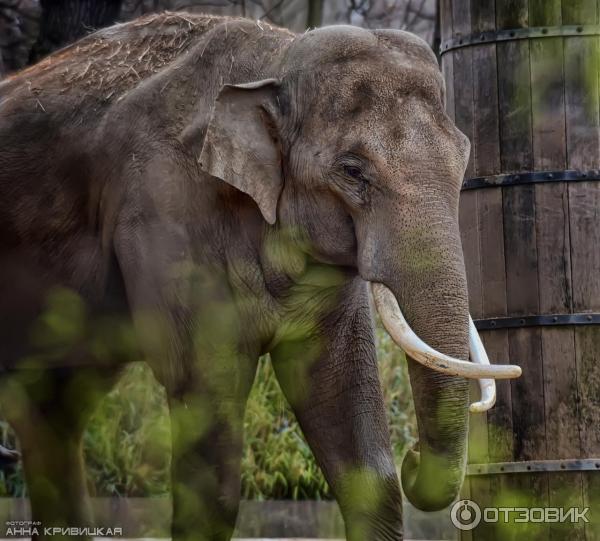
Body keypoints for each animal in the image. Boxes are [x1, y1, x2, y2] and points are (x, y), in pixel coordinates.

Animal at [0, 11, 516, 540]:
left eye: (463, 160)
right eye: (353, 171)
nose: (413, 454)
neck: (275, 60)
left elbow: (344, 407)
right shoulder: (165, 211)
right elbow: (206, 409)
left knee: (53, 410)